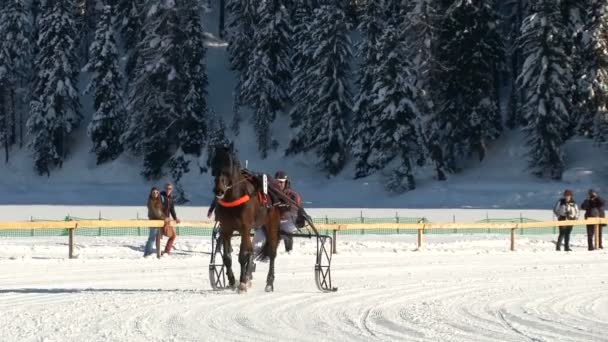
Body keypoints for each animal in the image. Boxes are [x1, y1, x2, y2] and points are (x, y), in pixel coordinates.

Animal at [211, 143, 282, 292]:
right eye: (213, 165)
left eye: (228, 166)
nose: (218, 190)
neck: (233, 198)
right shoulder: (226, 229)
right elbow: (227, 257)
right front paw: (232, 281)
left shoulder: (244, 228)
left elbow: (243, 255)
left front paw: (242, 282)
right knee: (251, 250)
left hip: (272, 223)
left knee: (272, 252)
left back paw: (269, 282)